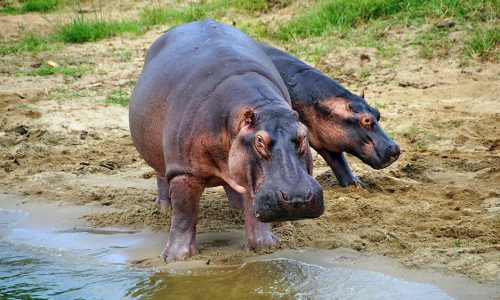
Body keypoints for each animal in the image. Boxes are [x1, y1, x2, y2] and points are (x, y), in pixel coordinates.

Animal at [129, 19, 324, 262]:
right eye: (260, 141)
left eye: (303, 135)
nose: (297, 198)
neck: (264, 106)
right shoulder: (184, 172)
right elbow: (184, 214)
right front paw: (176, 258)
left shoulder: (249, 173)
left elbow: (253, 210)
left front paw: (264, 247)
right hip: (159, 157)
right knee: (162, 179)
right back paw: (162, 210)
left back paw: (236, 210)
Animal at [260, 42, 400, 188]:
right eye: (366, 120)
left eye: (378, 113)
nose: (395, 149)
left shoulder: (324, 137)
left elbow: (339, 164)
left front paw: (358, 186)